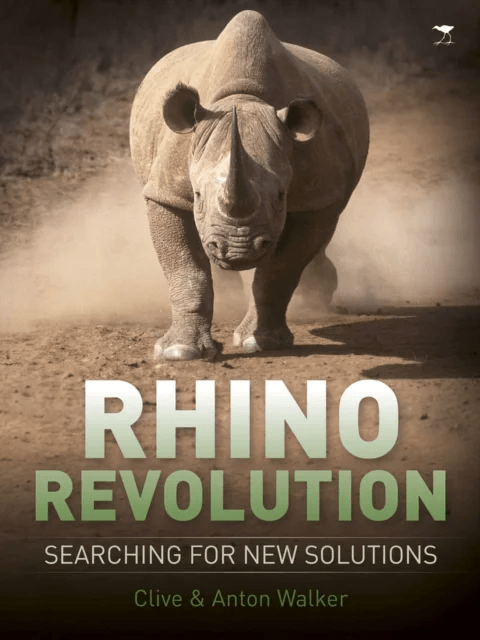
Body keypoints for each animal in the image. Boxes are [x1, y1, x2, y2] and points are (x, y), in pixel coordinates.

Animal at [130, 10, 369, 360]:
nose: (237, 251)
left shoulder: (315, 195)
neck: (243, 98)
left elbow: (280, 271)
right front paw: (179, 351)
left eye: (281, 197)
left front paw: (261, 343)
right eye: (197, 195)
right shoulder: (166, 191)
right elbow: (186, 269)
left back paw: (317, 299)